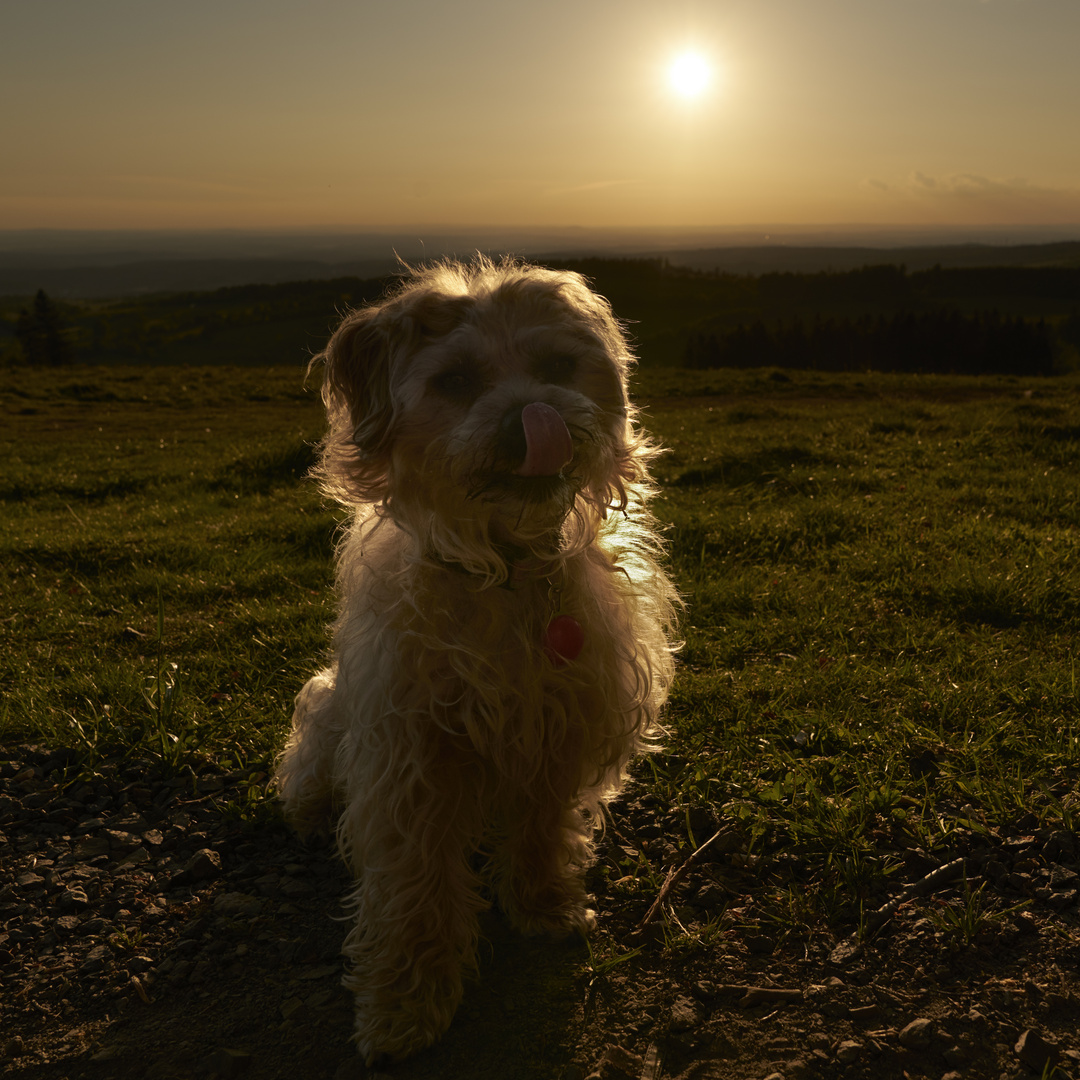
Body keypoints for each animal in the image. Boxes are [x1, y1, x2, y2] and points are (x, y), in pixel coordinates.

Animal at [276, 254, 673, 1062]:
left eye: (558, 366)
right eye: (455, 380)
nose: (534, 418)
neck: (509, 569)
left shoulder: (562, 722)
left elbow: (542, 824)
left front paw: (545, 902)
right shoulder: (411, 752)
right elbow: (414, 878)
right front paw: (406, 1000)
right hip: (332, 710)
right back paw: (309, 809)